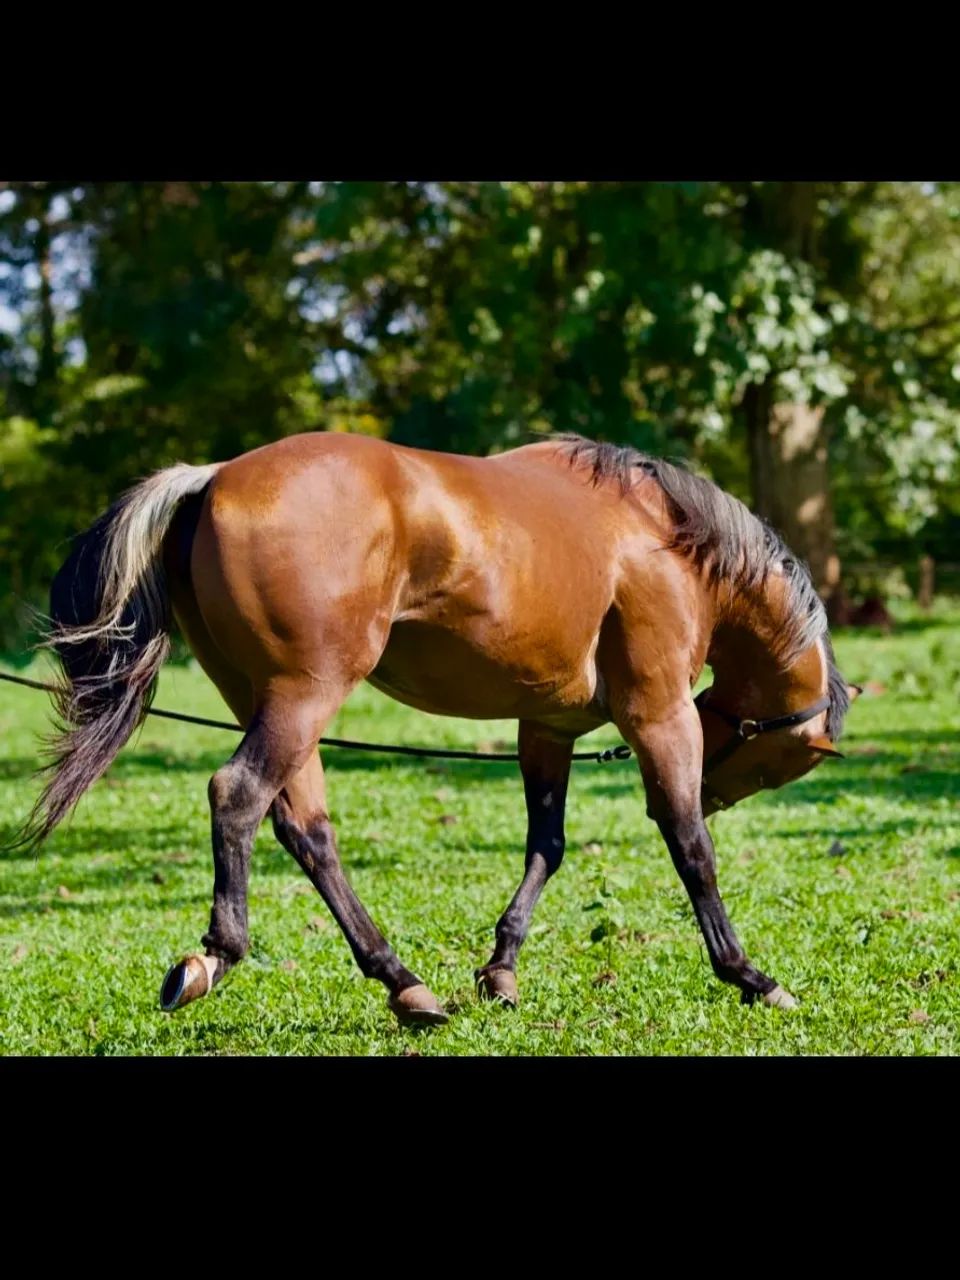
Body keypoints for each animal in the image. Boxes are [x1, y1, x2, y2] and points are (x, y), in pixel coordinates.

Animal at [13, 431, 859, 1026]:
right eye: (776, 764)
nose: (718, 789)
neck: (664, 535)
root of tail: (213, 477)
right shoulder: (660, 717)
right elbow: (691, 849)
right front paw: (749, 975)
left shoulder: (546, 727)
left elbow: (546, 846)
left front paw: (502, 968)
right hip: (305, 695)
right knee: (239, 794)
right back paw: (218, 955)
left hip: (271, 700)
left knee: (305, 830)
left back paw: (404, 984)